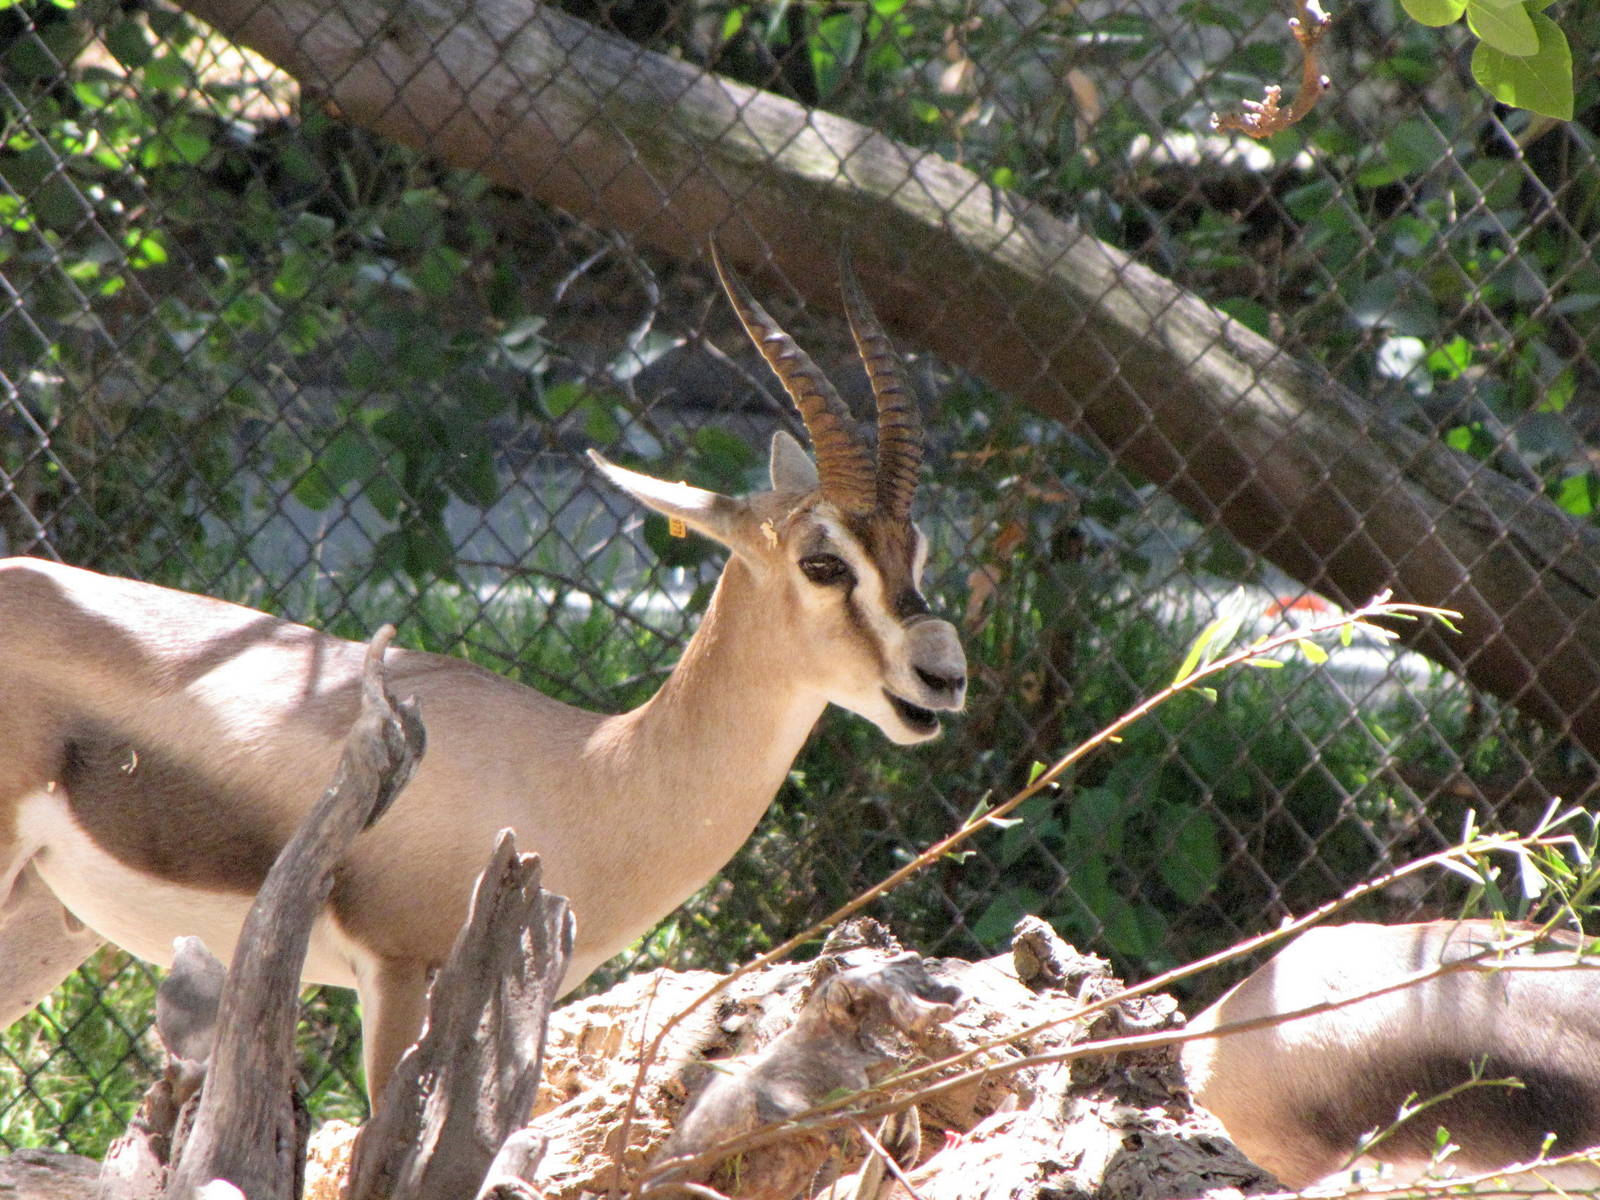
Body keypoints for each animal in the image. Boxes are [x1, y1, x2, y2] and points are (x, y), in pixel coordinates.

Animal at [0, 249, 966, 1100]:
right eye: (823, 564)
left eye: (916, 550)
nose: (943, 675)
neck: (587, 773)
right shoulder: (402, 971)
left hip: (49, 920)